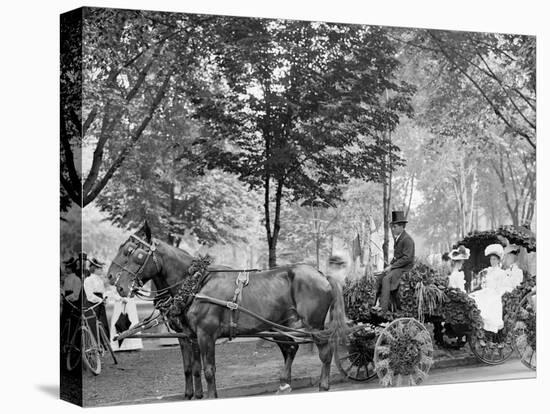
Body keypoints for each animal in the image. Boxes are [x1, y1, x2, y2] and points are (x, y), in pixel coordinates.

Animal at [106, 223, 348, 398]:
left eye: (130, 251)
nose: (111, 278)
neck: (195, 284)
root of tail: (322, 274)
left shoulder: (205, 335)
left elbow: (209, 371)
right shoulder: (189, 336)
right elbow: (192, 368)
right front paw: (193, 396)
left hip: (314, 326)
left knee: (325, 353)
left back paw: (323, 386)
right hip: (280, 325)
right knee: (291, 348)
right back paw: (285, 384)